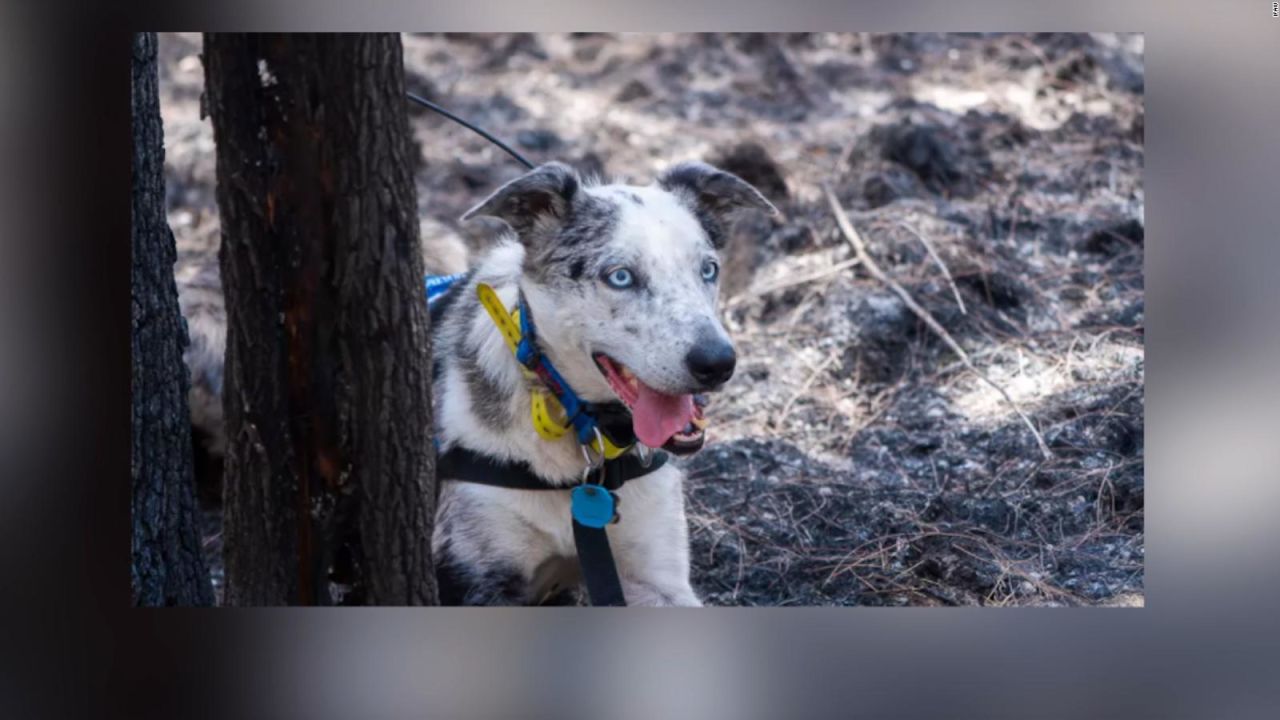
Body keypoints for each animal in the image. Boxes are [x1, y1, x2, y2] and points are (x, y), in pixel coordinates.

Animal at [177, 159, 778, 602]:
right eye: (621, 277)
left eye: (708, 269)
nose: (717, 362)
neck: (577, 446)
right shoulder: (473, 576)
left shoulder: (657, 579)